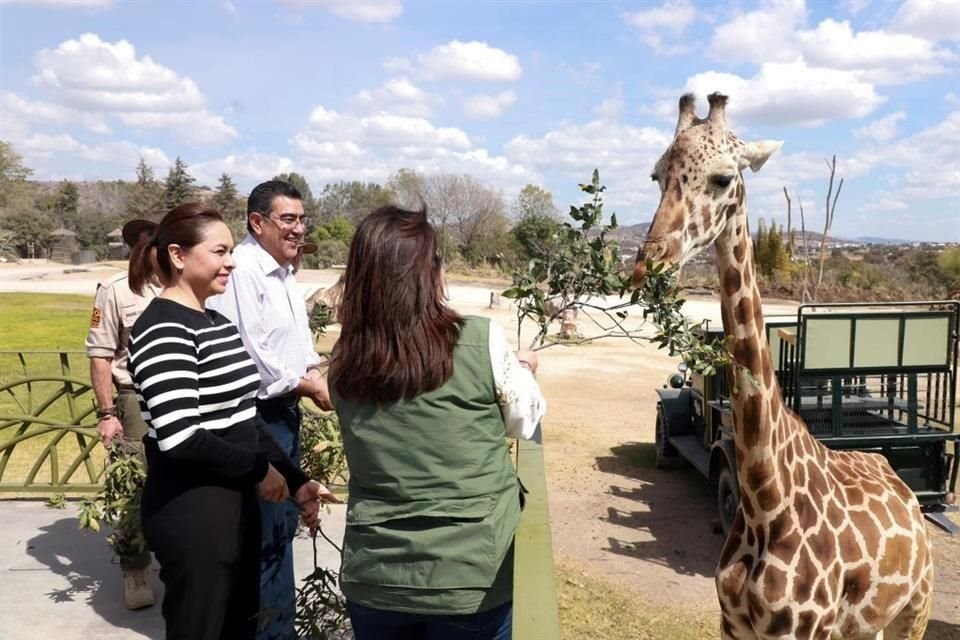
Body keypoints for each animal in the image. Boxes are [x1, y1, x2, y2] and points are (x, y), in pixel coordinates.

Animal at [632, 91, 932, 640]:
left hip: (914, 609)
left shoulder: (802, 630)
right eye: (657, 174)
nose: (649, 264)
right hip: (865, 626)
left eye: (723, 178)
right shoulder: (732, 624)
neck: (763, 499)